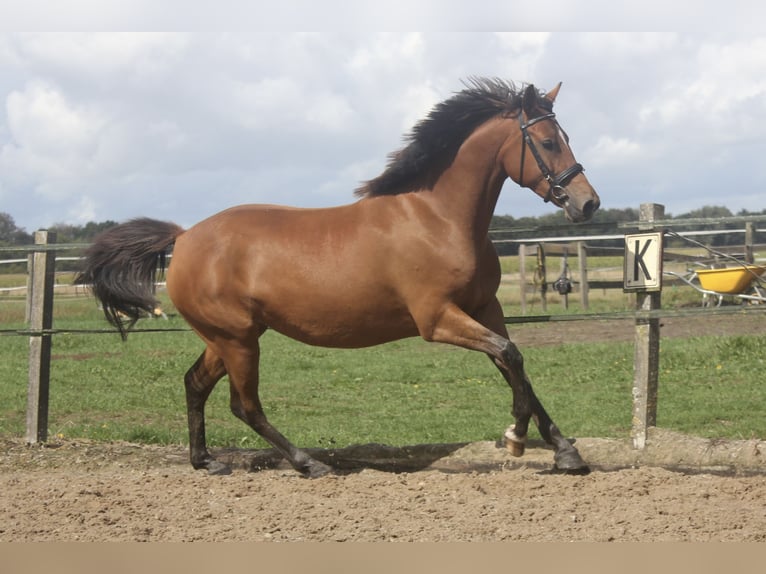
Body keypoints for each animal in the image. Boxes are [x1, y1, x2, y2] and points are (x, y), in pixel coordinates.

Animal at [76, 78, 600, 477]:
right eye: (549, 141)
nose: (587, 203)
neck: (439, 218)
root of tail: (183, 238)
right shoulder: (437, 319)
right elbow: (511, 357)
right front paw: (515, 437)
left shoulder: (484, 309)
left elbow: (516, 367)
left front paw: (564, 452)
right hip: (238, 339)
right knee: (245, 405)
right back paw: (309, 463)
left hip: (227, 337)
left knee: (194, 384)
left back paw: (205, 461)